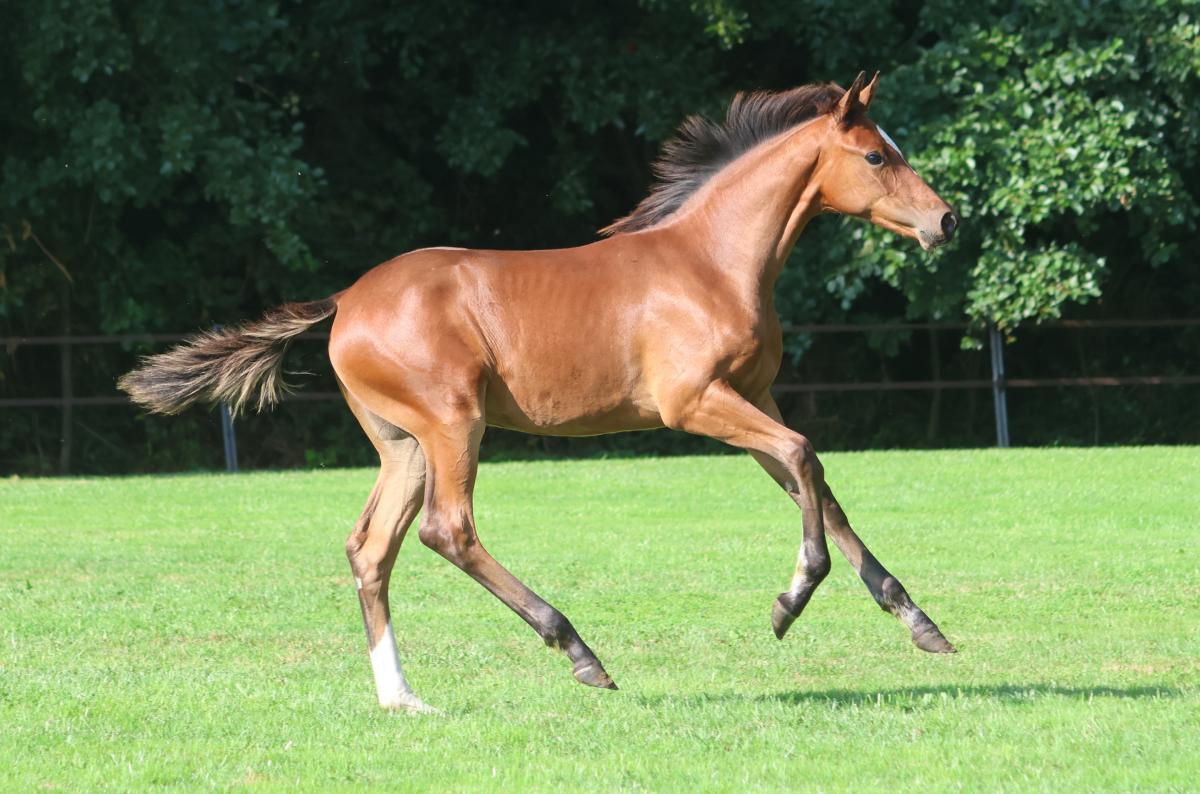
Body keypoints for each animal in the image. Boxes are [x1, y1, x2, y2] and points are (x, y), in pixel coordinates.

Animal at [119, 72, 960, 713]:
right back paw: (578, 650)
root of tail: (346, 301)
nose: (947, 221)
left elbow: (815, 484)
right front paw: (791, 602)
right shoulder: (696, 404)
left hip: (404, 446)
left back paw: (402, 698)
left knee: (371, 549)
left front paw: (920, 623)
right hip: (454, 425)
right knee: (447, 531)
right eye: (876, 155)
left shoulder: (756, 397)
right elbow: (807, 458)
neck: (712, 262)